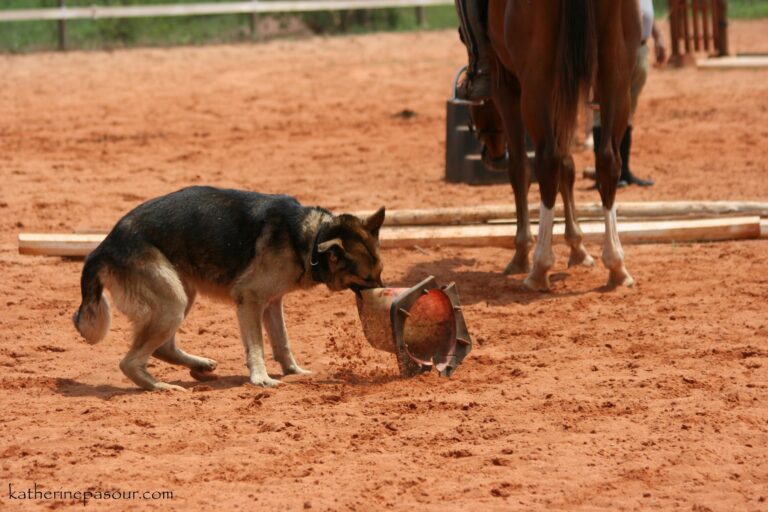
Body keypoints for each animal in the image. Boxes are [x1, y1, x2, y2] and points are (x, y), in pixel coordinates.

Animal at [73, 186, 384, 390]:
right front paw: (261, 378)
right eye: (367, 279)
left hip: (182, 295)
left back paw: (198, 366)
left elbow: (282, 342)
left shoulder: (272, 303)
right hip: (172, 302)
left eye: (381, 274)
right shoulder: (250, 300)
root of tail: (103, 246)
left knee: (162, 348)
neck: (310, 238)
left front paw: (294, 371)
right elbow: (257, 345)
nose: (384, 296)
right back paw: (160, 387)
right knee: (130, 362)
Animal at [472, 0, 640, 288]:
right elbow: (568, 165)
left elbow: (521, 169)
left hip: (534, 82)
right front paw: (578, 248)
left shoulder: (505, 84)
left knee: (546, 161)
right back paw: (617, 266)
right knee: (607, 160)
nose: (491, 157)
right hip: (616, 75)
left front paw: (521, 253)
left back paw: (539, 267)